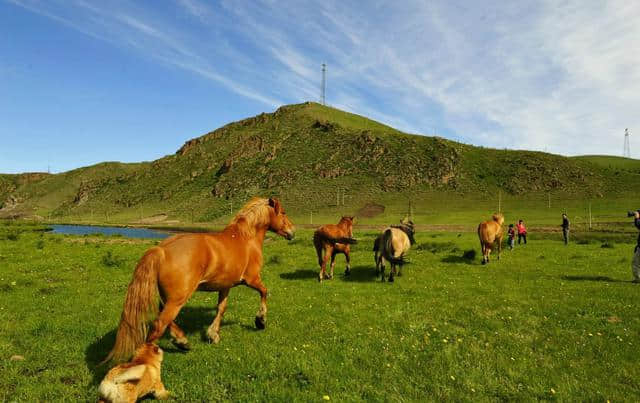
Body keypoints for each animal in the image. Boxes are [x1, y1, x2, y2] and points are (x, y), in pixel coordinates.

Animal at [104, 198, 296, 362]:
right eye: (283, 212)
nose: (292, 232)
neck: (245, 238)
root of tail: (161, 250)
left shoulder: (225, 286)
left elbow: (221, 308)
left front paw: (213, 334)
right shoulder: (252, 279)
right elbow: (264, 292)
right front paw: (260, 321)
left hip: (169, 298)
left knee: (163, 317)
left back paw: (182, 341)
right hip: (177, 299)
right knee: (158, 325)